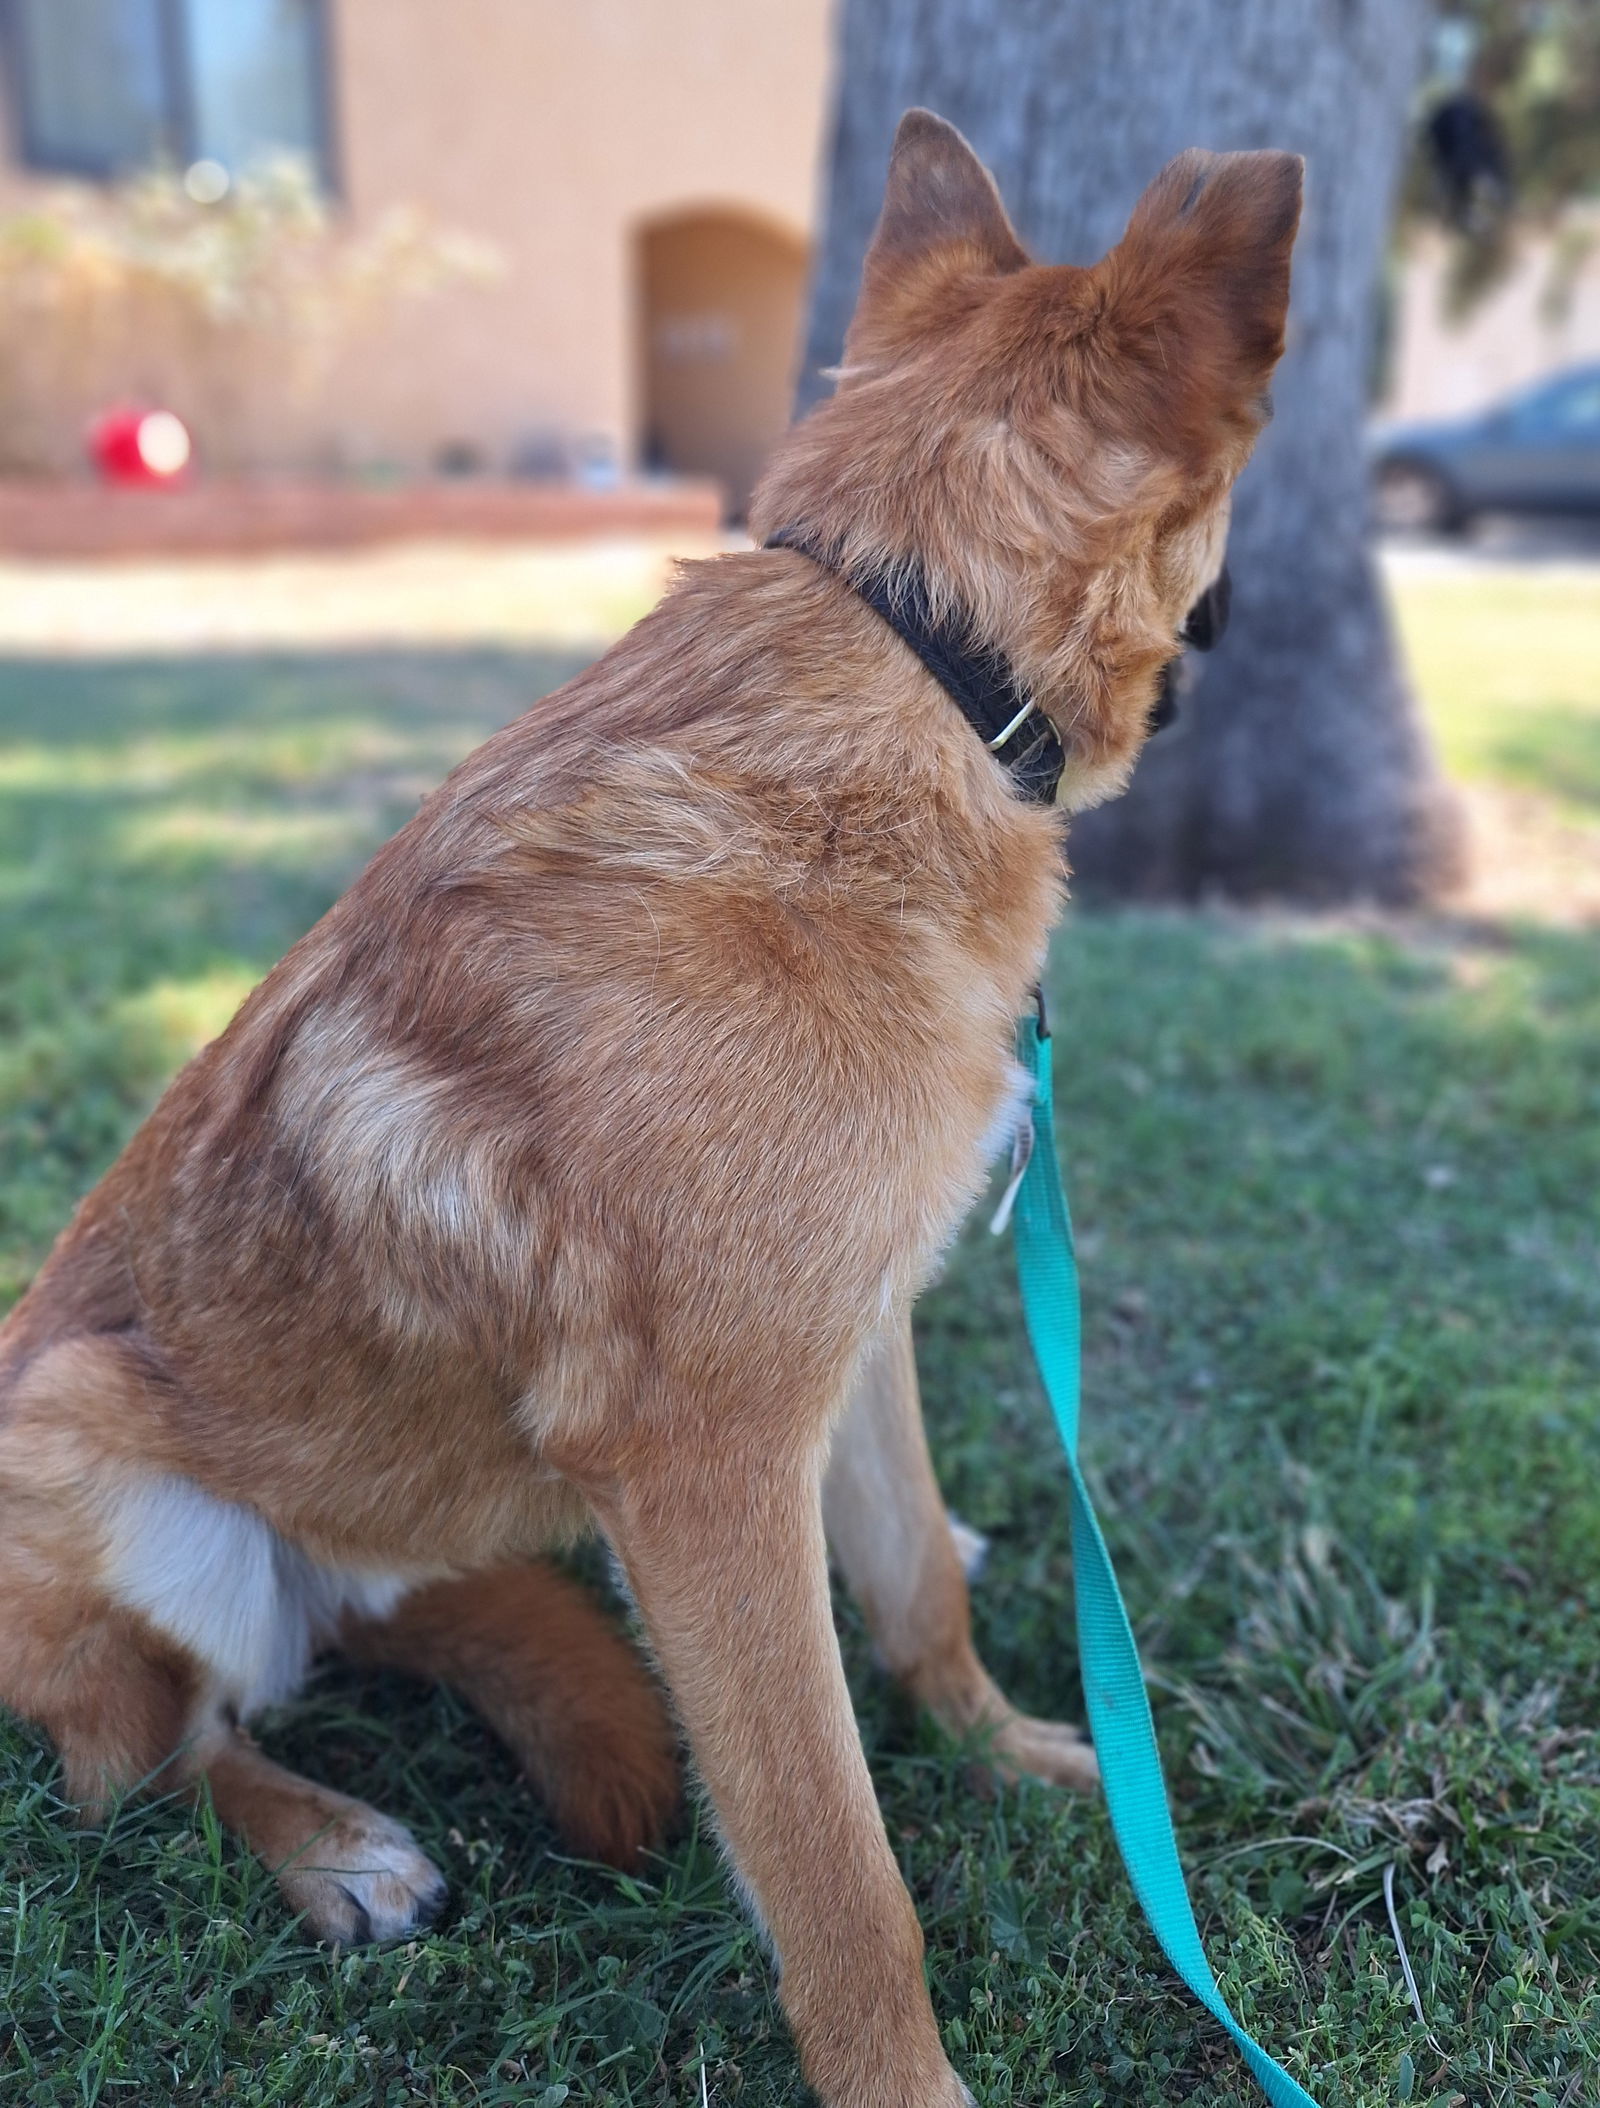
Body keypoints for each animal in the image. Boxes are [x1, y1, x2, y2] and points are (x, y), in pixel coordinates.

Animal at [0, 115, 1298, 2108]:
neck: (919, 662)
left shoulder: (848, 1341)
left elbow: (911, 1578)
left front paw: (1006, 1748)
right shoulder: (706, 1470)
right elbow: (839, 1875)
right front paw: (909, 2081)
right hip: (110, 1471)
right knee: (147, 1760)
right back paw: (337, 1847)